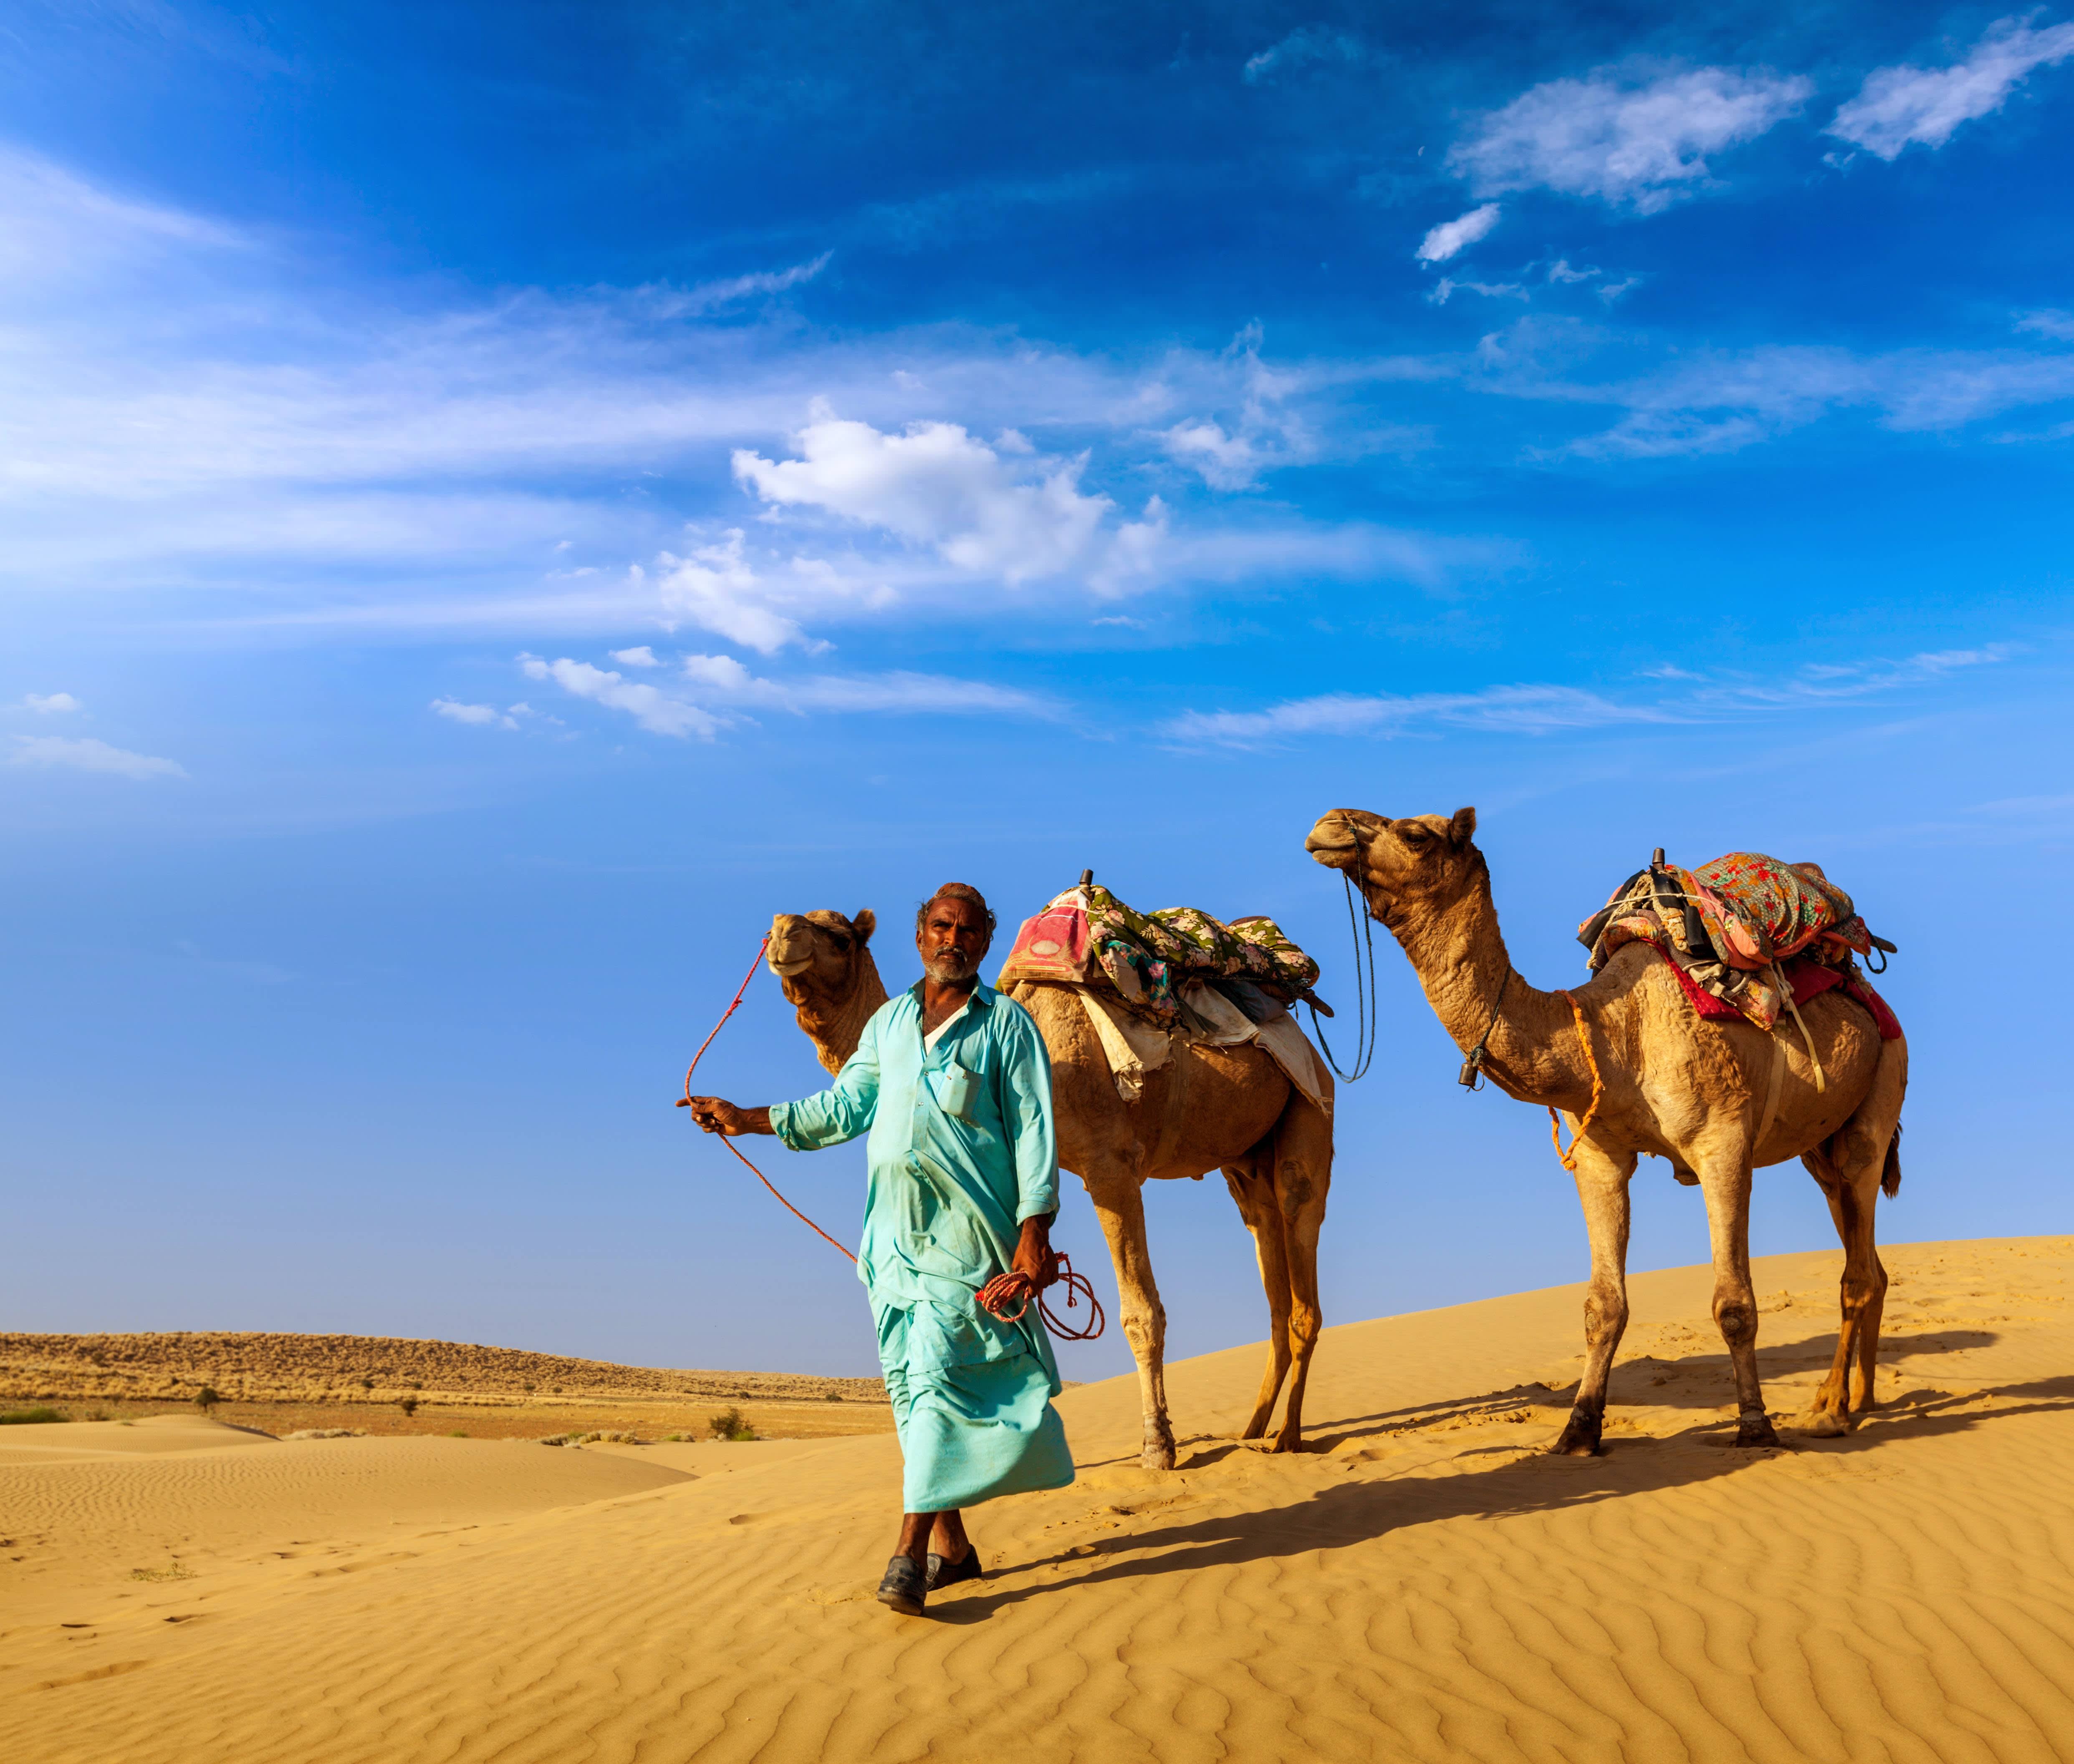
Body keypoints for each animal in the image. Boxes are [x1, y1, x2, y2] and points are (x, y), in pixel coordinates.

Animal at [771, 900, 1336, 1461]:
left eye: (840, 936)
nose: (781, 933)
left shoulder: (1111, 1165)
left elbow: (1141, 1313)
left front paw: (1158, 1443)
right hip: (1243, 1158)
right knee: (1266, 1246)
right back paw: (1254, 1429)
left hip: (1310, 1106)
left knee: (1299, 1226)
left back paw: (1288, 1436)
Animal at [1302, 805, 1900, 1453]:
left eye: (1414, 834)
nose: (1327, 825)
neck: (1613, 1032)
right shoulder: (1599, 1154)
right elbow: (1603, 1305)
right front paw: (1579, 1429)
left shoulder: (1722, 1144)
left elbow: (1733, 1303)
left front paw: (1755, 1424)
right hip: (1821, 1147)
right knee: (1866, 1257)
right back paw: (1857, 1398)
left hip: (1879, 1096)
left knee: (1857, 1265)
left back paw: (1832, 1410)